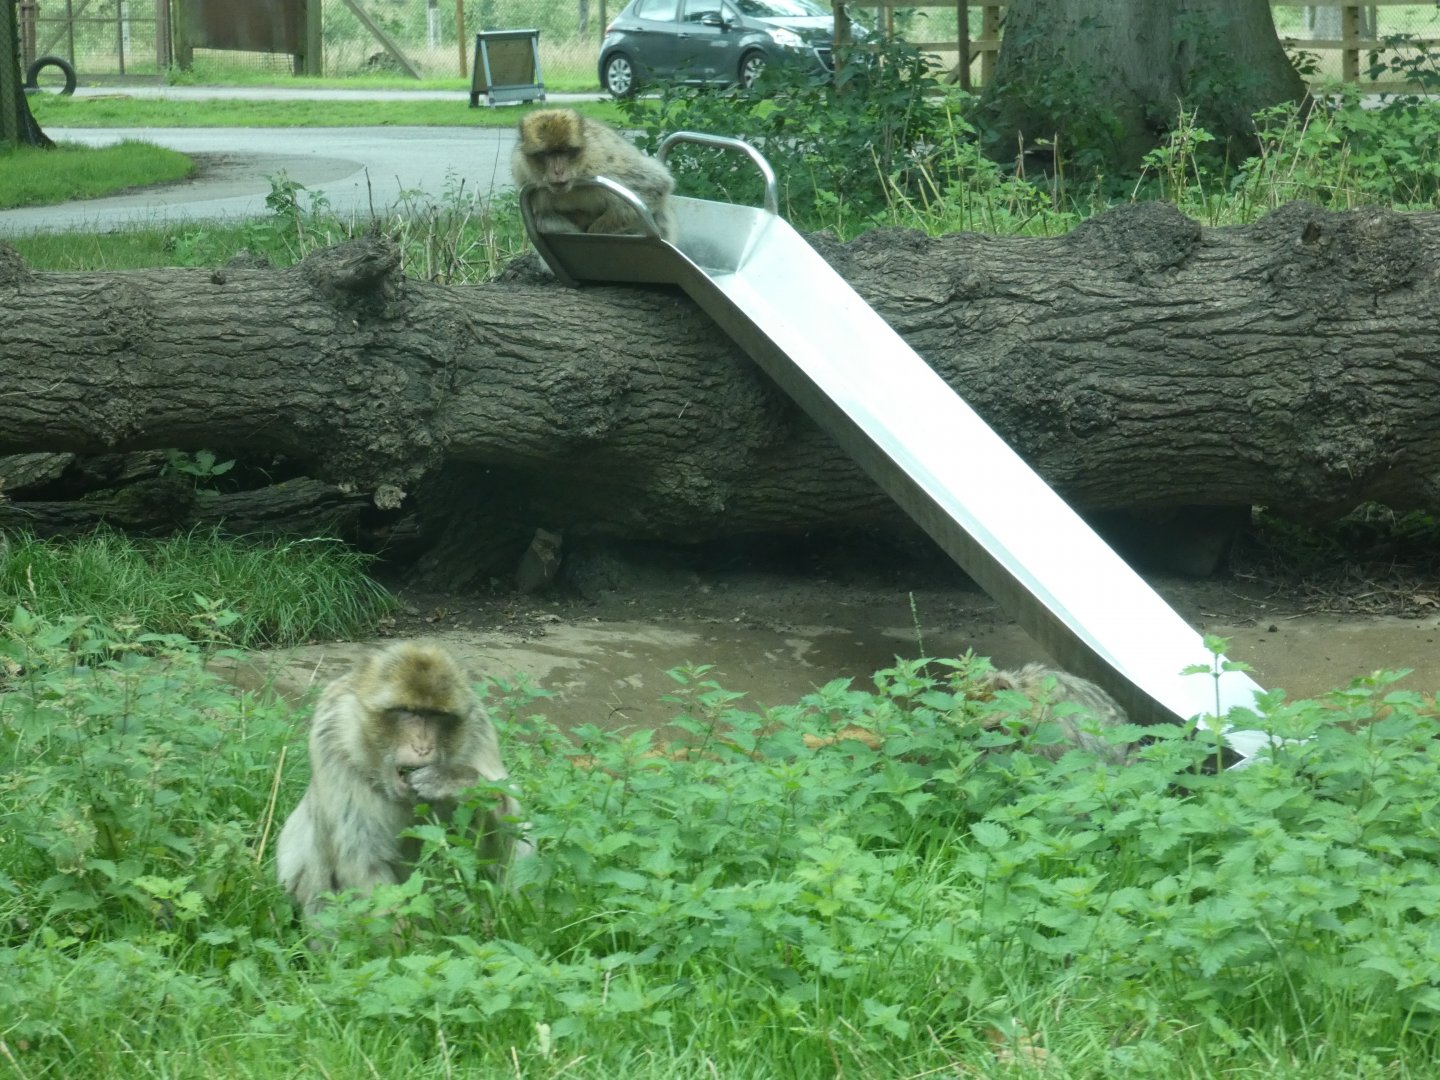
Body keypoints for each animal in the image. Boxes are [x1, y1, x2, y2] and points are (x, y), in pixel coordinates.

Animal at [275, 642, 532, 920]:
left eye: (436, 715)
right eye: (408, 712)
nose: (422, 748)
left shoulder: (479, 733)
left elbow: (503, 845)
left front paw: (456, 781)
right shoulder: (331, 742)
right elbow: (364, 863)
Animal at [511, 108, 678, 243]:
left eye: (566, 152)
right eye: (546, 154)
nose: (558, 171)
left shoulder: (602, 167)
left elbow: (654, 186)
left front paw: (594, 232)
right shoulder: (523, 174)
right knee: (544, 218)